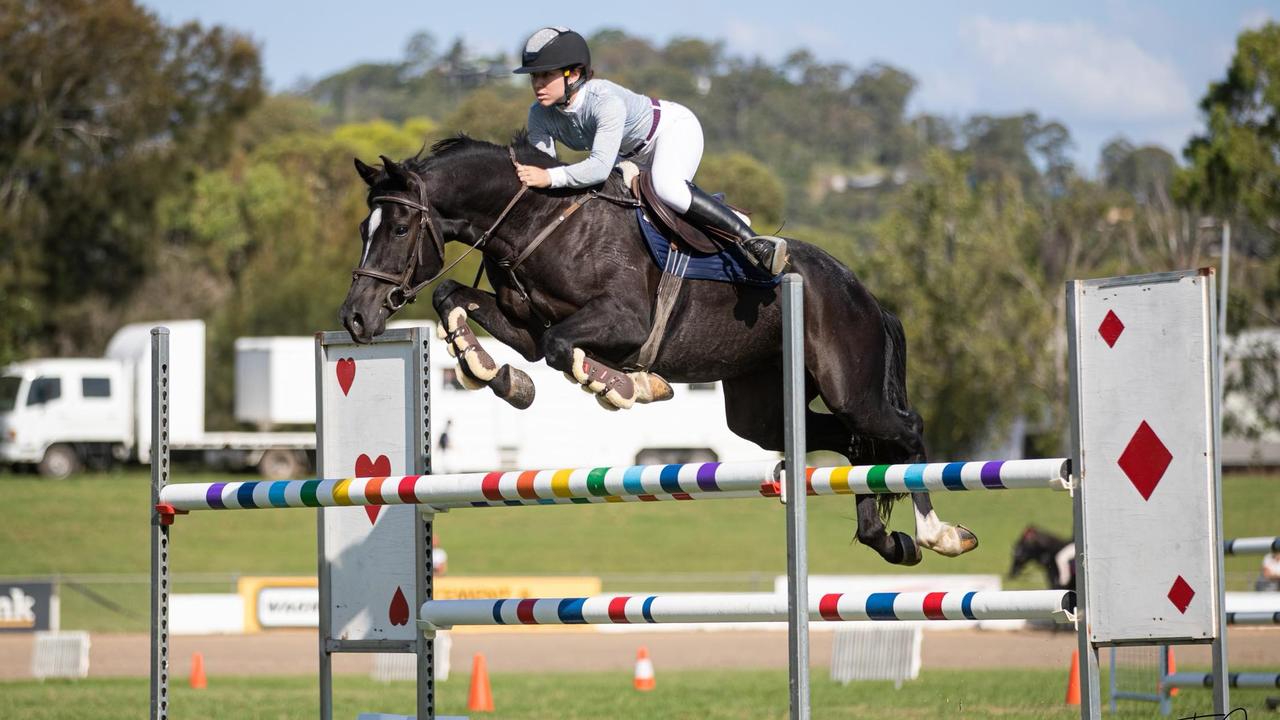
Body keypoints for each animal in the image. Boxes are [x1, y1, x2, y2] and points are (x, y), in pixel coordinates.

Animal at [335, 131, 972, 563]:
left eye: (397, 230)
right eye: (364, 229)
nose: (356, 317)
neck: (539, 219)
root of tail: (864, 293)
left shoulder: (624, 322)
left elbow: (563, 347)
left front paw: (626, 384)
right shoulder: (524, 322)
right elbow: (461, 302)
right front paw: (498, 374)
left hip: (852, 385)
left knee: (904, 430)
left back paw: (938, 533)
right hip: (761, 410)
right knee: (854, 444)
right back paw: (886, 539)